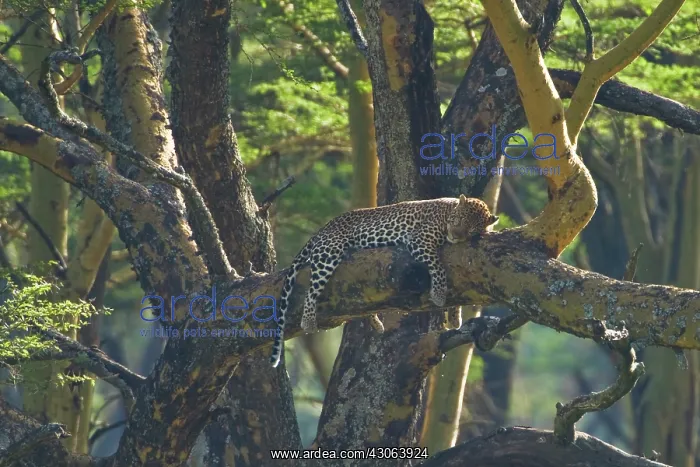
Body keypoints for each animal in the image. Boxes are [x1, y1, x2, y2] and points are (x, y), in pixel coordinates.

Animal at [270, 195, 499, 368]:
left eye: (470, 230)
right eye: (458, 220)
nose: (455, 235)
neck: (448, 211)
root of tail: (322, 229)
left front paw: (454, 316)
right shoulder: (419, 241)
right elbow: (438, 267)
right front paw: (440, 294)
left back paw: (375, 322)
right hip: (329, 253)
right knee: (311, 291)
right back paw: (308, 321)